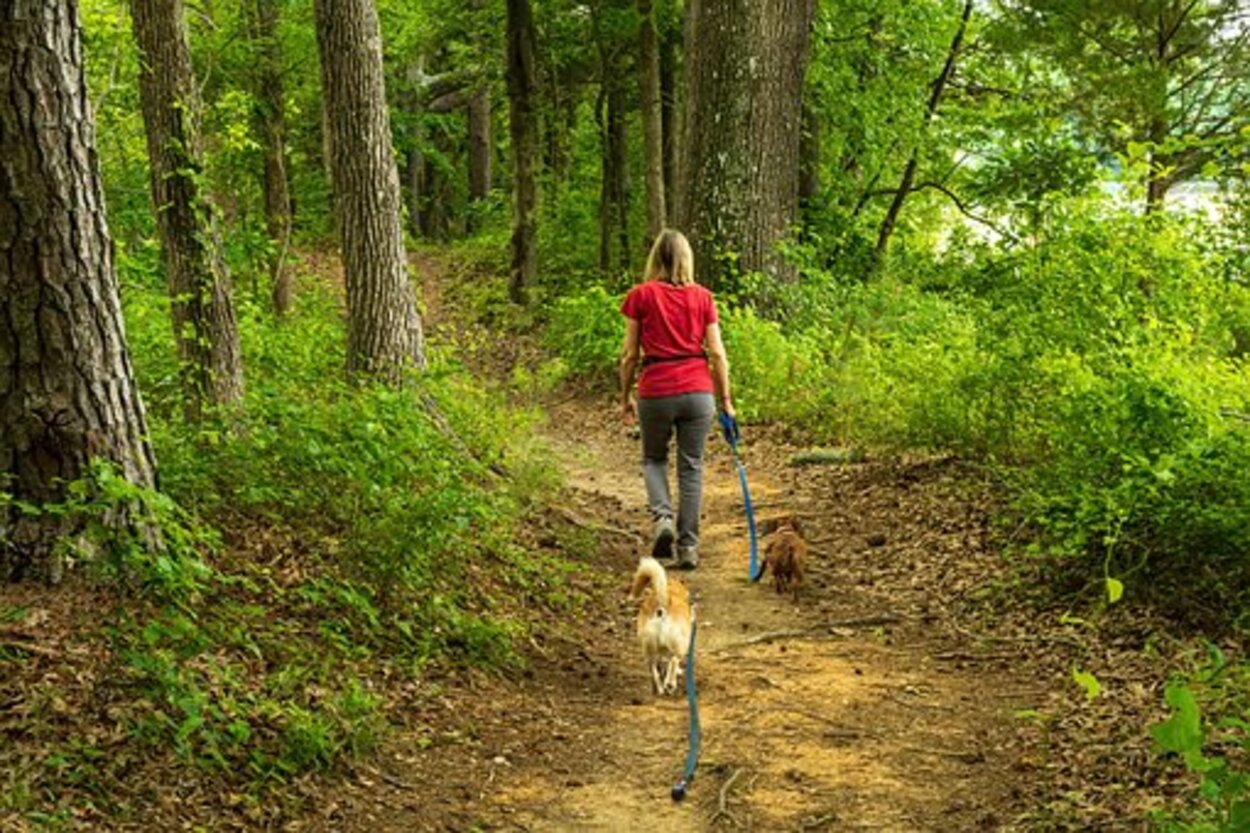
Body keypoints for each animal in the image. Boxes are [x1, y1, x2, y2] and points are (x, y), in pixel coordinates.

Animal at [630, 557, 700, 695]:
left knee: (653, 668)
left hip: (649, 649)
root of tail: (662, 606)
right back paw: (670, 684)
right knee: (674, 660)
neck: (671, 589)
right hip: (680, 645)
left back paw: (659, 688)